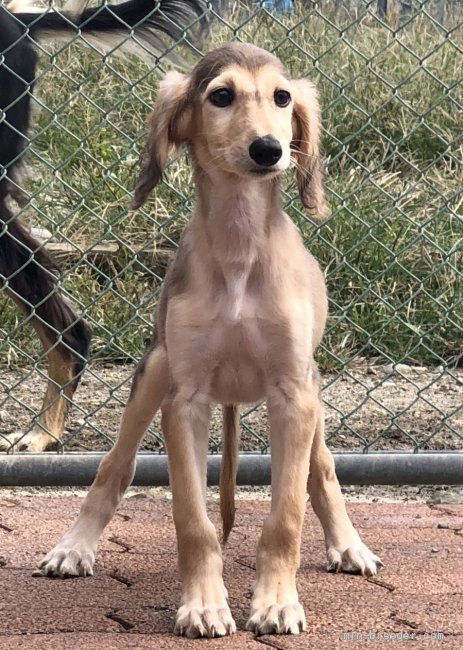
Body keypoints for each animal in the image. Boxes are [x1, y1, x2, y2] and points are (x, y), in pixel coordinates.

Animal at [40, 44, 382, 636]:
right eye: (221, 95)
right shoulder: (186, 400)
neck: (240, 249)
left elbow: (286, 514)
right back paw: (75, 547)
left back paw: (348, 545)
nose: (269, 150)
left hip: (310, 391)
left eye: (282, 97)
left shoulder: (293, 394)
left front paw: (276, 602)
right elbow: (193, 520)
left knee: (321, 470)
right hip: (155, 371)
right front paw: (203, 603)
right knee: (116, 464)